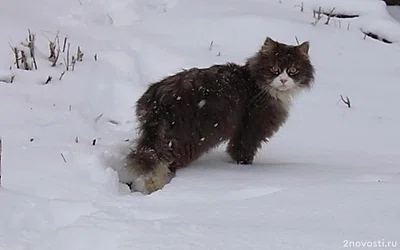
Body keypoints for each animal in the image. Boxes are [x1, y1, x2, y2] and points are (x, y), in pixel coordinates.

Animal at [119, 36, 316, 194]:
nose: (283, 80)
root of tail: (158, 98)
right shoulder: (251, 129)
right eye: (274, 69)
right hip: (188, 138)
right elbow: (241, 154)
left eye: (293, 71)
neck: (256, 83)